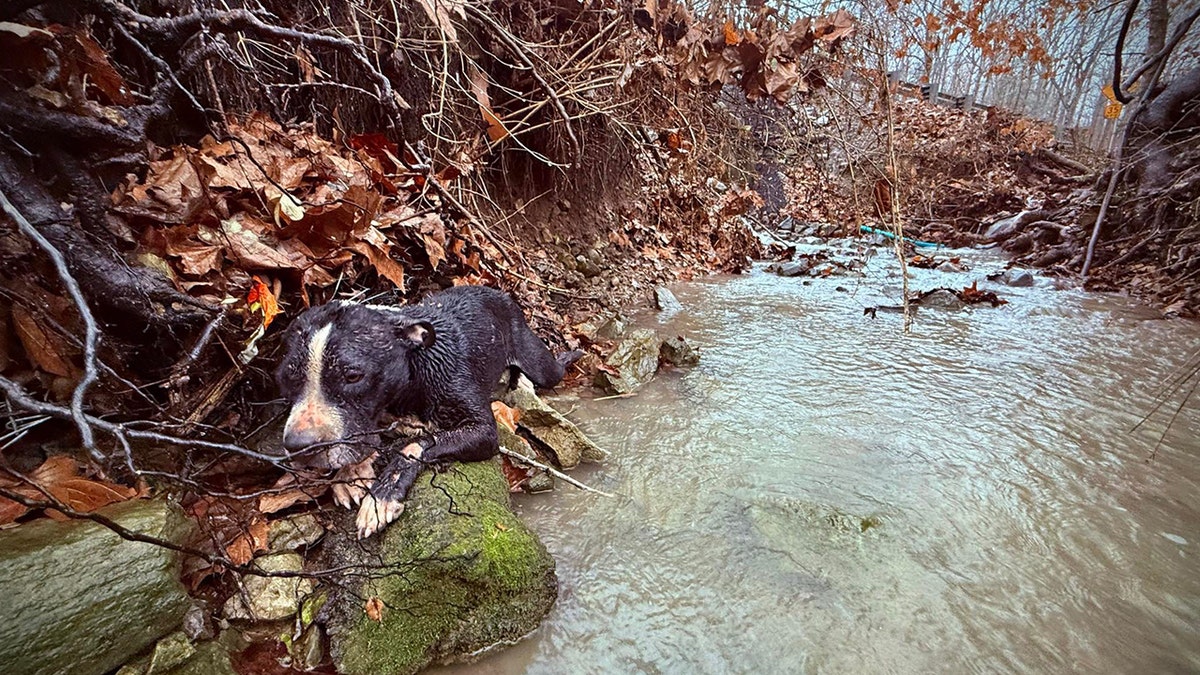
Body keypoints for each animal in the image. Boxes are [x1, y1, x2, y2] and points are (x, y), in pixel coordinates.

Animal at [274, 283, 573, 535]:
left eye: (353, 376)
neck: (414, 368)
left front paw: (382, 495)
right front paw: (352, 472)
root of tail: (495, 290)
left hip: (540, 364)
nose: (299, 446)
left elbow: (413, 446)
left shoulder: (483, 431)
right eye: (285, 378)